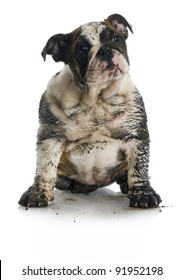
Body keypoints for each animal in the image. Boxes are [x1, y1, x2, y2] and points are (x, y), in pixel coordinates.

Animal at [18, 14, 162, 207]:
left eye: (116, 38)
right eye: (82, 48)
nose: (105, 50)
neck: (96, 100)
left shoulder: (135, 136)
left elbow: (138, 168)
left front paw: (143, 194)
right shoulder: (51, 137)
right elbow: (45, 167)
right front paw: (37, 193)